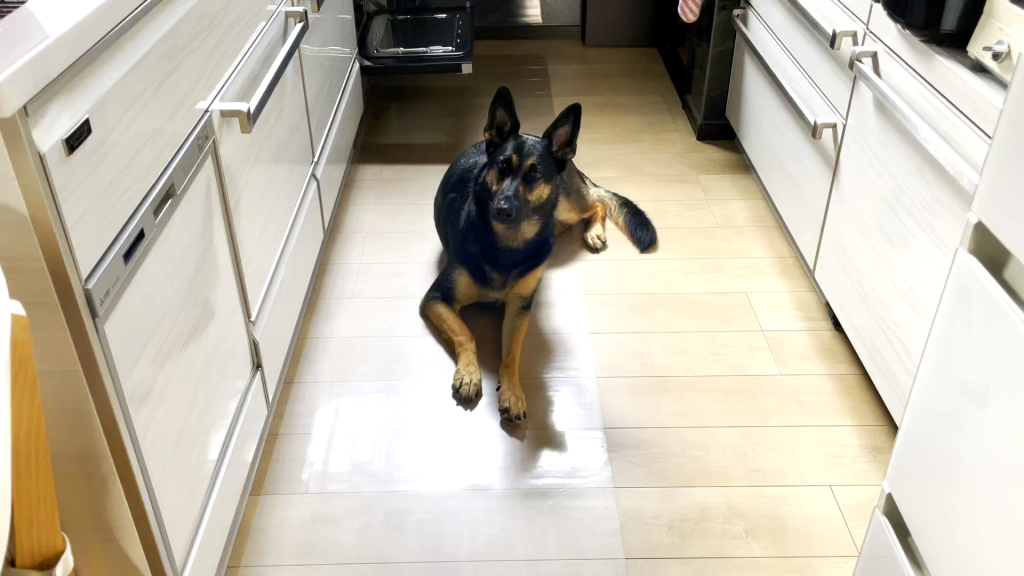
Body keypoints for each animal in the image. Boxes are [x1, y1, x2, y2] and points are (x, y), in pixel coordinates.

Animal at [421, 86, 658, 423]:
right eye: (502, 166)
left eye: (535, 175)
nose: (502, 209)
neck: (508, 245)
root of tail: (571, 163)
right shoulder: (437, 299)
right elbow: (467, 334)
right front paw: (469, 374)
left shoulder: (519, 308)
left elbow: (512, 355)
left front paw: (513, 392)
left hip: (566, 203)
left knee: (596, 203)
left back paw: (593, 231)